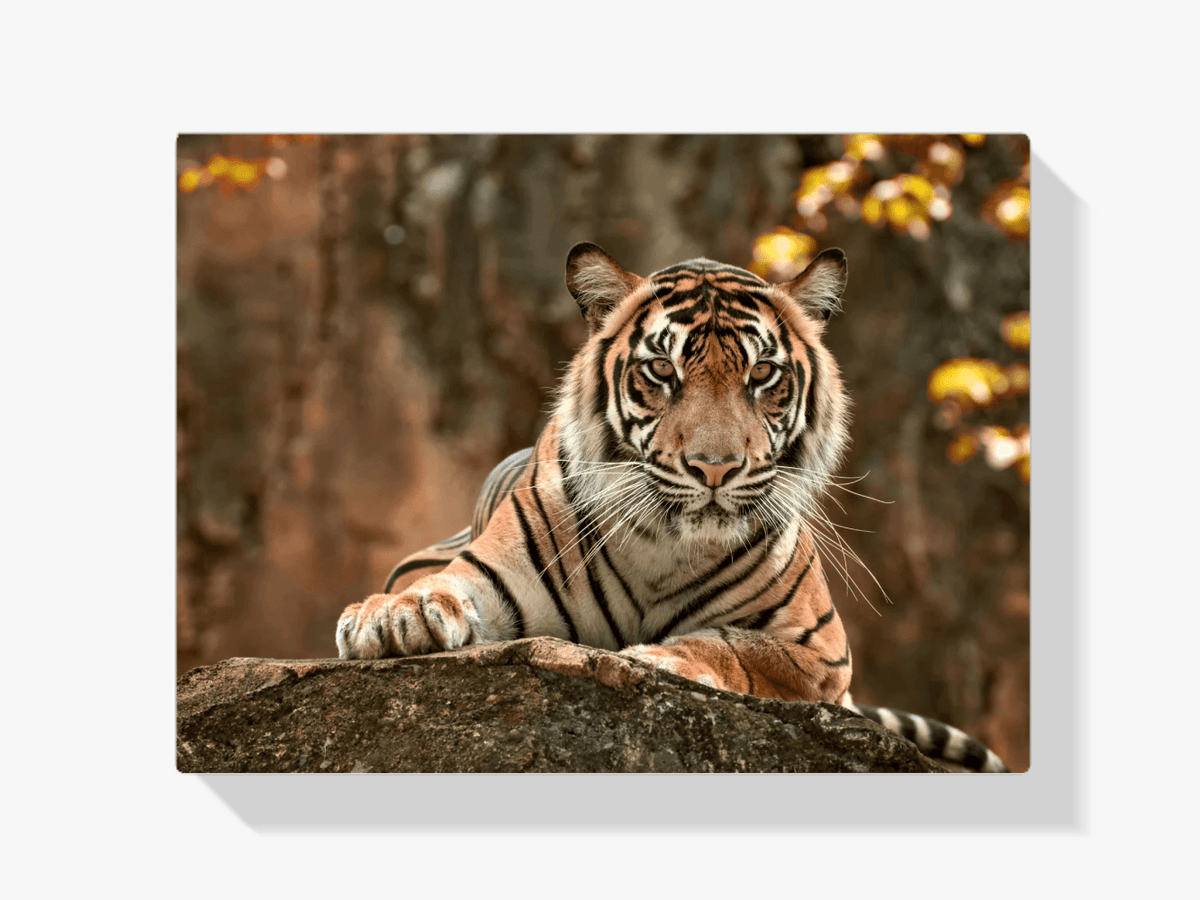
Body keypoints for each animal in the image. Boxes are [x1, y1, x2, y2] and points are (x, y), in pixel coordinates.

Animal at [336, 242, 1011, 774]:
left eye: (762, 375)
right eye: (662, 369)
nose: (714, 467)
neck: (664, 545)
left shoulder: (820, 652)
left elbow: (731, 646)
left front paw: (656, 658)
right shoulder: (486, 572)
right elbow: (437, 589)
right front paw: (392, 618)